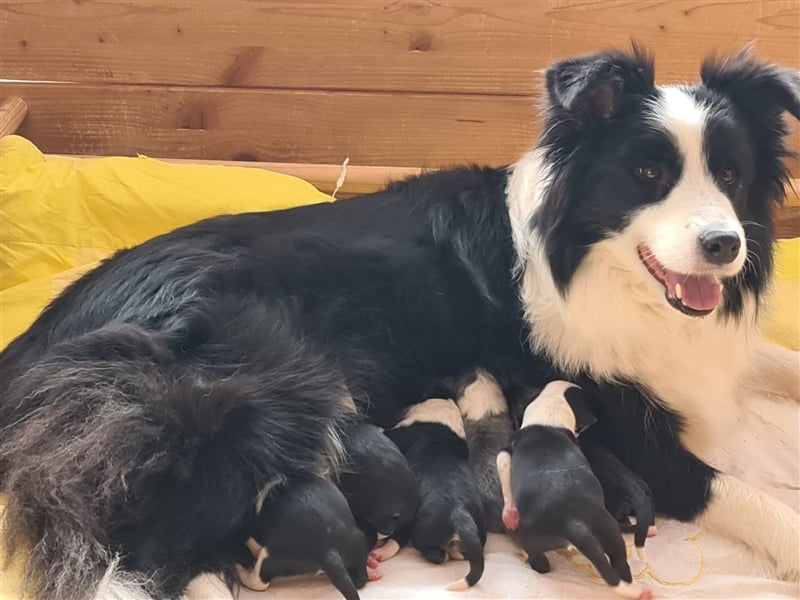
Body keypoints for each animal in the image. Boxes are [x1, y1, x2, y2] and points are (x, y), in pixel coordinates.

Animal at [234, 478, 378, 600]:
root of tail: (329, 551)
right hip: (358, 545)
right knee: (360, 579)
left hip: (270, 557)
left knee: (259, 582)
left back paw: (240, 569)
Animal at [496, 382, 652, 596]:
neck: (552, 409)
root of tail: (573, 522)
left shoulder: (507, 450)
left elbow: (502, 465)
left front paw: (509, 514)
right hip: (609, 531)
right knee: (620, 564)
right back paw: (636, 590)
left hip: (534, 537)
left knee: (537, 558)